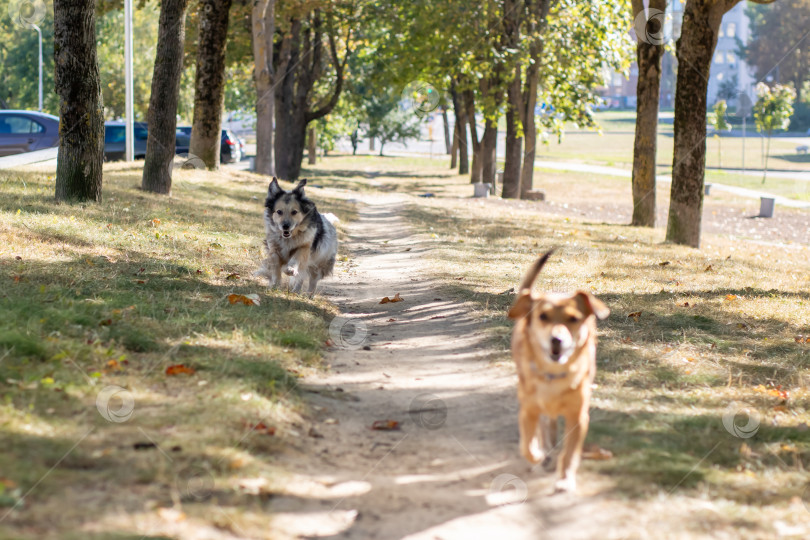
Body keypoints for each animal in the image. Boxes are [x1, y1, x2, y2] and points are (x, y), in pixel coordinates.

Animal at [504, 250, 608, 494]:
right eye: (543, 316)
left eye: (574, 318)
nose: (557, 339)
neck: (553, 376)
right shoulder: (528, 411)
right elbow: (527, 445)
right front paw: (538, 456)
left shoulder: (578, 416)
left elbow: (569, 453)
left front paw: (565, 479)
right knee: (543, 429)